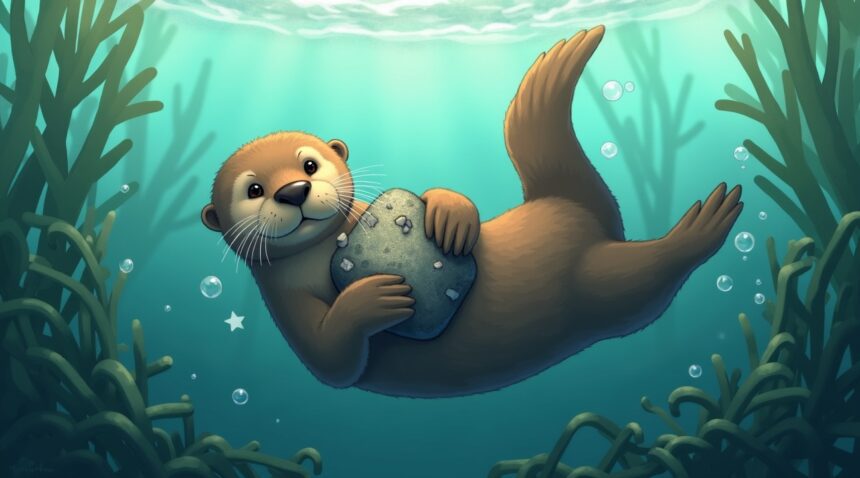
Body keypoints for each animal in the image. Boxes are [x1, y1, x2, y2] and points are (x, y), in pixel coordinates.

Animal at [201, 26, 743, 398]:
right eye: (254, 189)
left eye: (310, 164)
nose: (293, 190)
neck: (324, 251)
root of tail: (569, 204)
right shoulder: (286, 306)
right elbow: (331, 361)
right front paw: (374, 298)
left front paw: (450, 214)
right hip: (605, 288)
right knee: (647, 280)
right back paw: (704, 226)